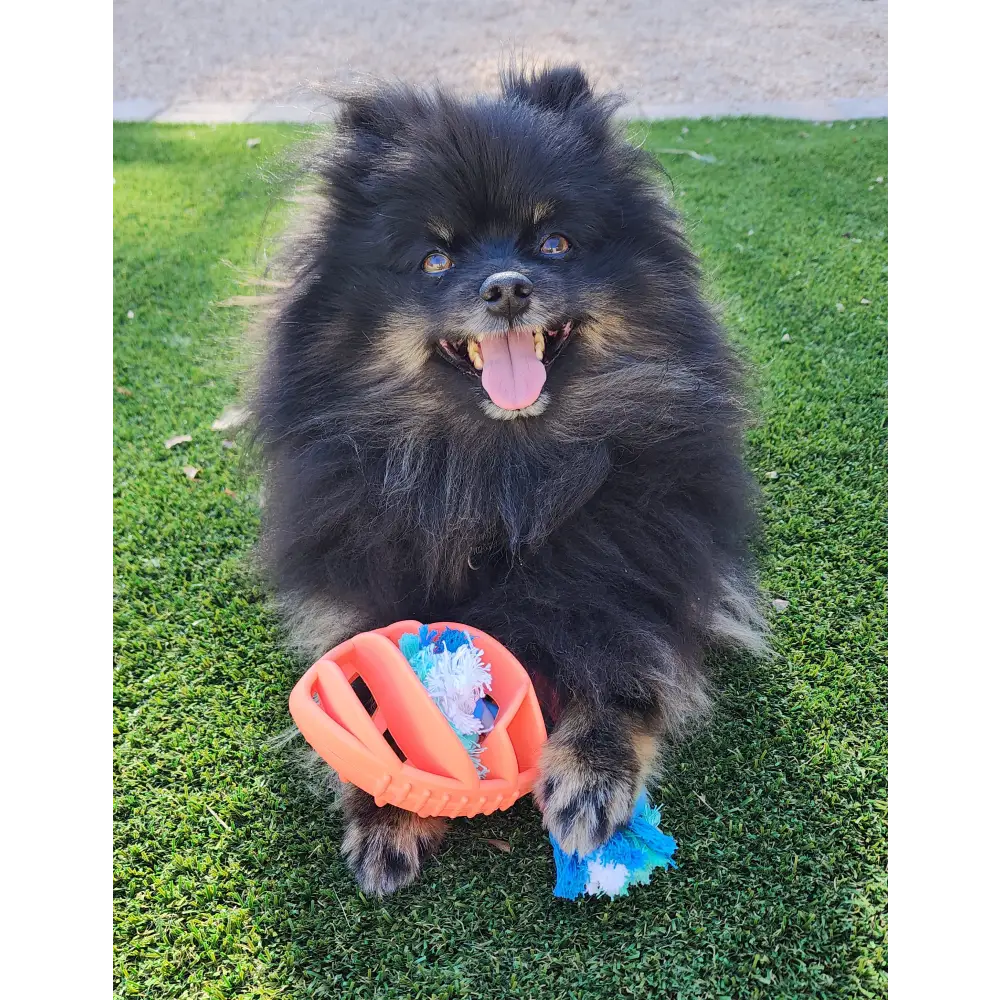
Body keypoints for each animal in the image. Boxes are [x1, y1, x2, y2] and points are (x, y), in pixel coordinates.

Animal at [254, 70, 760, 900]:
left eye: (552, 242)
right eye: (434, 259)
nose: (508, 287)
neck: (506, 472)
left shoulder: (646, 565)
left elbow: (630, 654)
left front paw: (591, 776)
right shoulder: (366, 575)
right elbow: (371, 670)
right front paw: (389, 804)